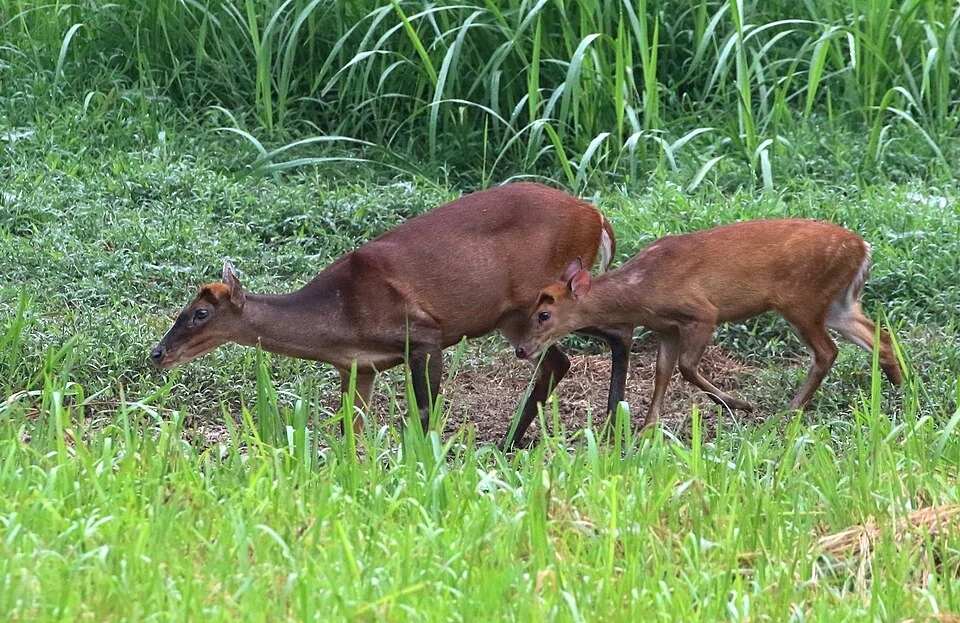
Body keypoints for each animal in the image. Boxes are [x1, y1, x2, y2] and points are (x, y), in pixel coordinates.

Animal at [150, 182, 623, 448]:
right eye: (182, 310)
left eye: (200, 313)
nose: (158, 354)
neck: (342, 317)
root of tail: (599, 216)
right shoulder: (358, 368)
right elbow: (351, 427)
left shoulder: (426, 334)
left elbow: (425, 413)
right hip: (514, 316)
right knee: (567, 356)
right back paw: (514, 442)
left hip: (545, 298)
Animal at [514, 218, 903, 428]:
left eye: (544, 315)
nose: (521, 349)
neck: (640, 290)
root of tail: (863, 248)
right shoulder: (666, 329)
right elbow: (662, 373)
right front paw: (647, 430)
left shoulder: (702, 312)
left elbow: (686, 368)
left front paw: (739, 404)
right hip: (838, 303)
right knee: (880, 337)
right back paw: (902, 390)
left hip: (802, 299)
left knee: (827, 351)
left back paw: (789, 410)